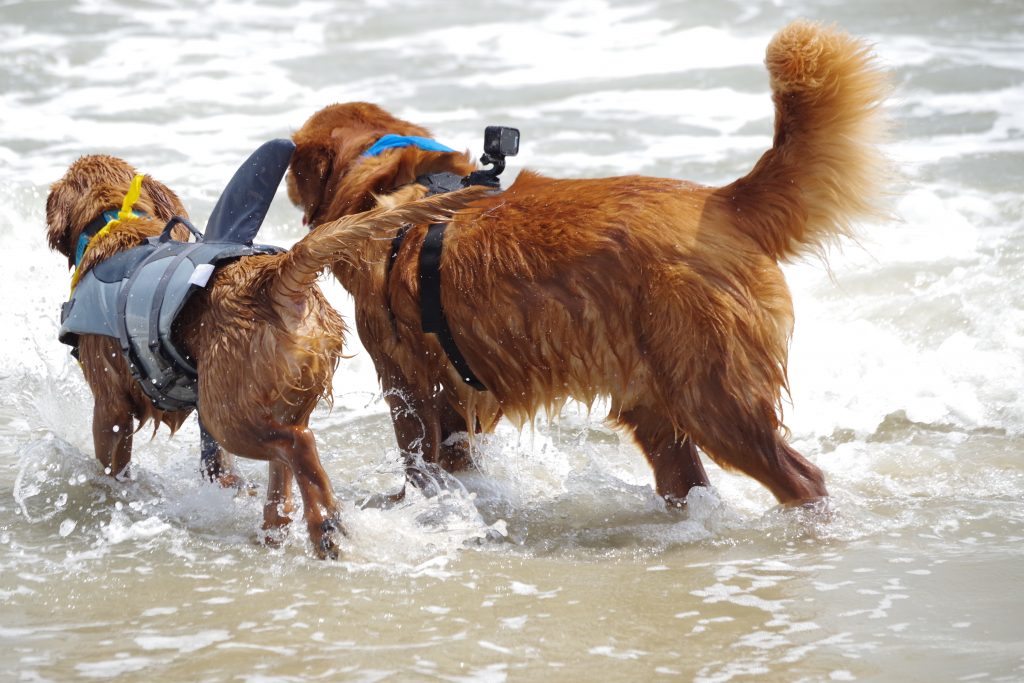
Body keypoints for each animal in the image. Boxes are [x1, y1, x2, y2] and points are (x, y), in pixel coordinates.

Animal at [46, 152, 484, 557]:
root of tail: (271, 279)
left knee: (298, 445)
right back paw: (281, 527)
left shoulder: (110, 406)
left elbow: (111, 465)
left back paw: (323, 524)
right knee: (285, 470)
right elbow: (217, 464)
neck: (118, 223)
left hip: (229, 414)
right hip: (278, 393)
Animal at [285, 21, 891, 508]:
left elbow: (420, 463)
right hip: (657, 403)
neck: (399, 187)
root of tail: (722, 201)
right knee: (687, 478)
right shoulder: (455, 399)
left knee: (802, 478)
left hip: (715, 396)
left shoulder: (408, 385)